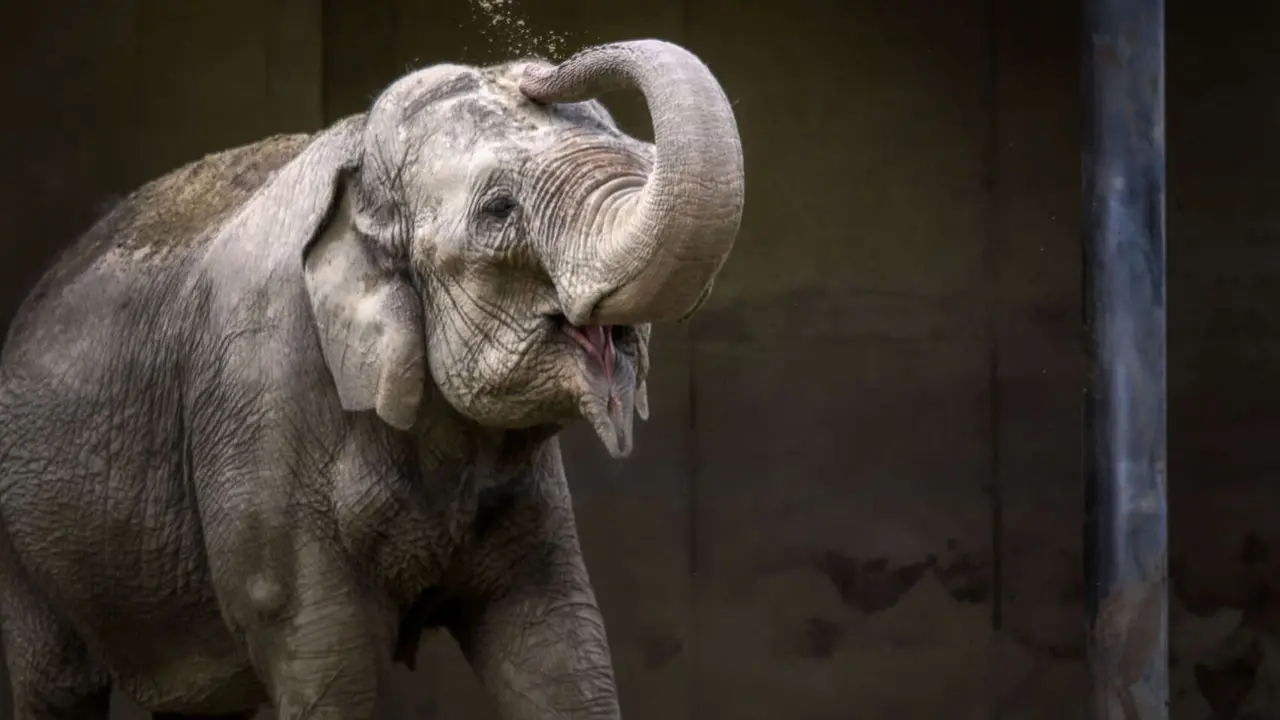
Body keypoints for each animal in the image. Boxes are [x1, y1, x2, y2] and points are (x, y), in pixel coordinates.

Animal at [0, 39, 743, 720]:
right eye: (499, 210)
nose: (534, 68)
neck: (358, 175)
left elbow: (559, 645)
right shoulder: (263, 410)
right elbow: (324, 657)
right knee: (56, 686)